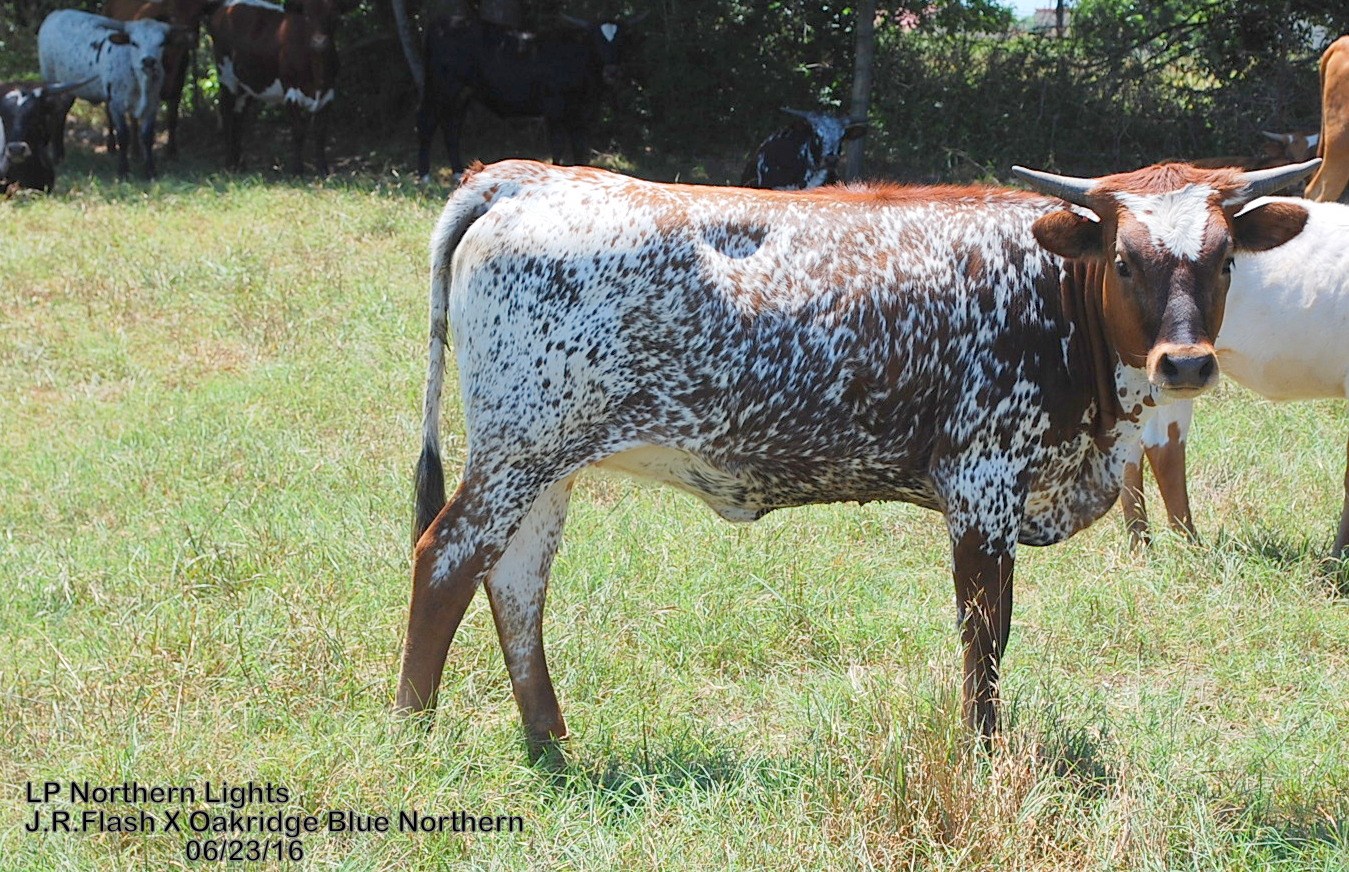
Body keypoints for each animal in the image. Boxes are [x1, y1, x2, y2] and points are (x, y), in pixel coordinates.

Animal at [38, 10, 182, 179]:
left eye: (162, 43)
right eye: (134, 43)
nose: (148, 61)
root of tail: (56, 14)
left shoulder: (152, 105)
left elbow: (147, 137)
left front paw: (150, 171)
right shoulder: (116, 104)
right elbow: (123, 136)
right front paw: (123, 171)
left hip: (69, 88)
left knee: (60, 115)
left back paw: (60, 155)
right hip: (52, 81)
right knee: (54, 115)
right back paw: (55, 157)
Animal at [103, 0, 218, 160]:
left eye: (198, 13)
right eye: (173, 14)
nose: (189, 38)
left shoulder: (178, 83)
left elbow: (172, 117)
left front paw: (171, 151)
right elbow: (134, 119)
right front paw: (136, 151)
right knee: (108, 109)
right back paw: (111, 144)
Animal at [206, 0, 339, 176]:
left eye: (333, 14)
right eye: (307, 15)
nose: (319, 42)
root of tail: (226, 6)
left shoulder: (328, 94)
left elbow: (320, 133)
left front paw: (324, 170)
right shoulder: (291, 92)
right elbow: (298, 131)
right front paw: (297, 170)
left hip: (247, 85)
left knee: (238, 118)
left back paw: (240, 164)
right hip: (227, 77)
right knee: (226, 113)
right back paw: (230, 164)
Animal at [395, 157, 1319, 759]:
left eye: (1223, 260)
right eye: (1124, 260)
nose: (1185, 365)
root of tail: (525, 176)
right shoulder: (982, 483)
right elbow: (984, 631)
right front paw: (981, 755)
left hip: (547, 464)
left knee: (515, 581)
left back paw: (550, 742)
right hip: (520, 450)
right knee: (445, 558)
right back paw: (412, 732)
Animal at [415, 12, 643, 181]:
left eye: (622, 40)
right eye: (596, 40)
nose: (612, 71)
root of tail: (443, 22)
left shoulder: (582, 112)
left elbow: (580, 147)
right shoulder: (554, 108)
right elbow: (558, 145)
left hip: (462, 93)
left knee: (451, 127)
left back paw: (457, 171)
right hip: (442, 88)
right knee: (428, 122)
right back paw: (425, 175)